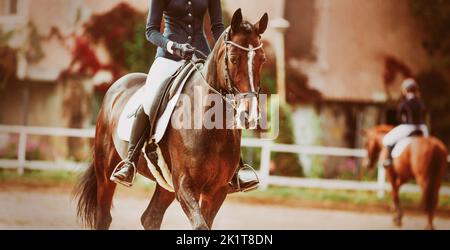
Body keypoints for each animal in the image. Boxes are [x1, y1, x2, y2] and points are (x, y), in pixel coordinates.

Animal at [75, 8, 268, 229]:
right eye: (234, 58)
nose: (250, 114)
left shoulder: (216, 191)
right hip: (105, 172)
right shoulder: (185, 184)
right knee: (104, 216)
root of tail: (119, 84)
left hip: (165, 182)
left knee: (151, 217)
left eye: (262, 59)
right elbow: (200, 225)